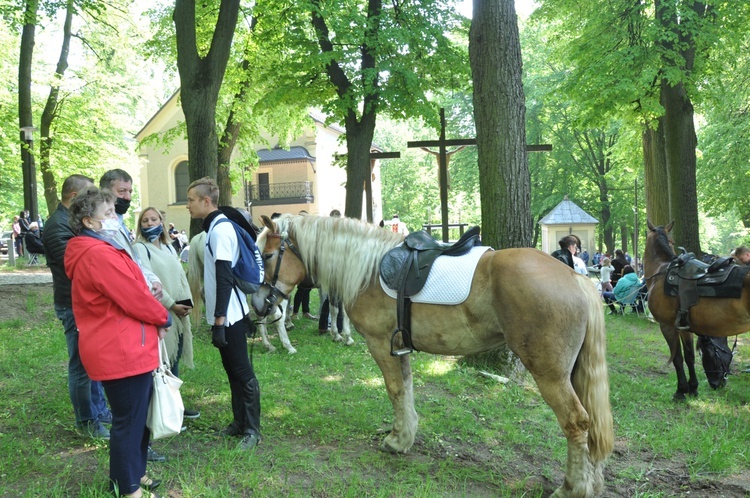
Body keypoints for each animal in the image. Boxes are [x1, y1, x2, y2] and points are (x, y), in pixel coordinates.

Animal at [253, 214, 616, 498]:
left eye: (268, 254)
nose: (258, 304)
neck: (368, 268)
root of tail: (576, 278)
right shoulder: (398, 345)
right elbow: (407, 390)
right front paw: (405, 436)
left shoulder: (378, 343)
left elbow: (395, 390)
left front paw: (396, 440)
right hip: (572, 372)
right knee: (592, 425)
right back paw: (593, 482)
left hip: (550, 374)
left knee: (576, 422)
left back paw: (572, 487)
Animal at [644, 220, 750, 398]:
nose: (718, 384)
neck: (661, 270)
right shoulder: (685, 327)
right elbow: (689, 357)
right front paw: (692, 388)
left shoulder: (667, 326)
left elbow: (677, 358)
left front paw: (681, 391)